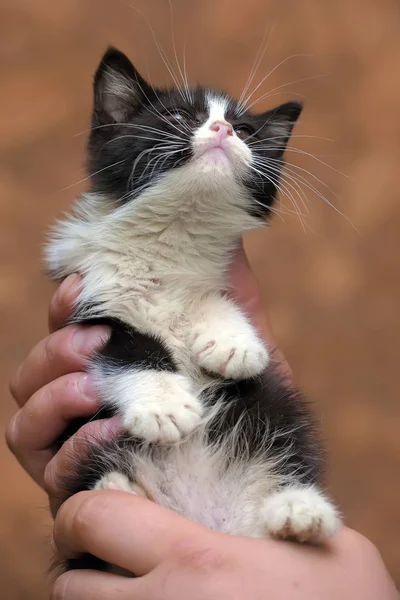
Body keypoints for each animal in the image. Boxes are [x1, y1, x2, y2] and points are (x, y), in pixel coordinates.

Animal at [46, 48, 340, 572]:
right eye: (181, 116)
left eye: (245, 129)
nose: (222, 130)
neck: (172, 237)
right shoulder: (84, 302)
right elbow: (128, 345)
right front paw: (164, 404)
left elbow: (213, 296)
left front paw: (234, 343)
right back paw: (119, 489)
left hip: (276, 417)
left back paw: (300, 512)